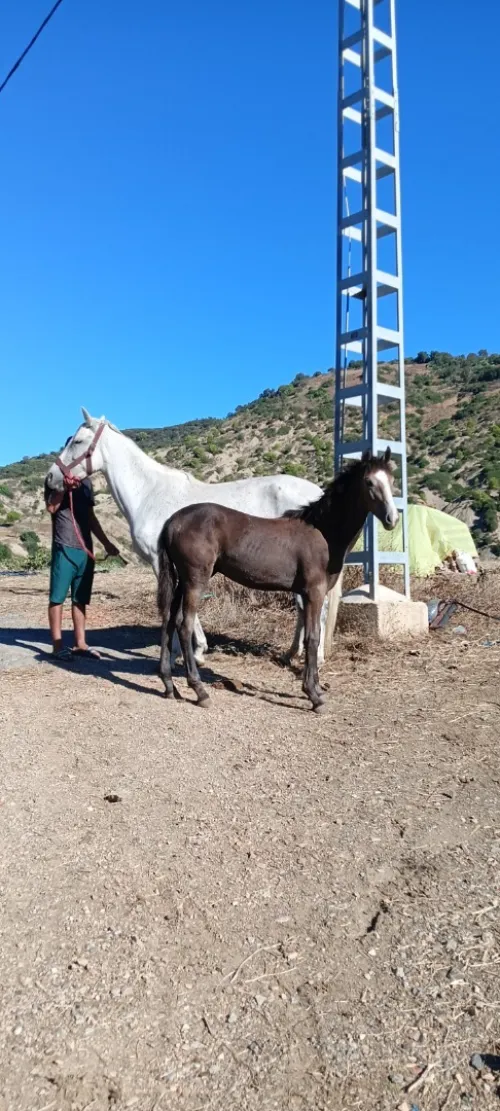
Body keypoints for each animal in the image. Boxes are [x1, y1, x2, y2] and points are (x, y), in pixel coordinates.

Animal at [44, 407, 330, 664]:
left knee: (319, 606)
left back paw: (317, 658)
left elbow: (174, 604)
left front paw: (187, 652)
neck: (150, 493)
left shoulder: (162, 562)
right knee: (305, 608)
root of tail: (318, 493)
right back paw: (292, 655)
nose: (50, 478)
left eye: (78, 441)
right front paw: (192, 650)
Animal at [157, 449, 398, 712]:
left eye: (392, 480)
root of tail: (172, 521)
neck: (322, 533)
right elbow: (313, 638)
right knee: (184, 624)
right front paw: (314, 696)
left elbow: (309, 636)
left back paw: (169, 685)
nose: (392, 519)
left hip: (181, 581)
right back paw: (200, 691)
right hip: (195, 580)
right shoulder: (314, 592)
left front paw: (314, 689)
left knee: (169, 620)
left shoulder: (306, 594)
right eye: (369, 482)